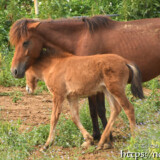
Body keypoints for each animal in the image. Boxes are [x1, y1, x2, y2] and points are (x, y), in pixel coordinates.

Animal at [10, 15, 160, 140]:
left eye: (25, 42)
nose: (14, 71)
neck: (80, 38)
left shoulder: (95, 86)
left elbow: (99, 110)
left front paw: (106, 136)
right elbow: (93, 111)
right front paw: (97, 135)